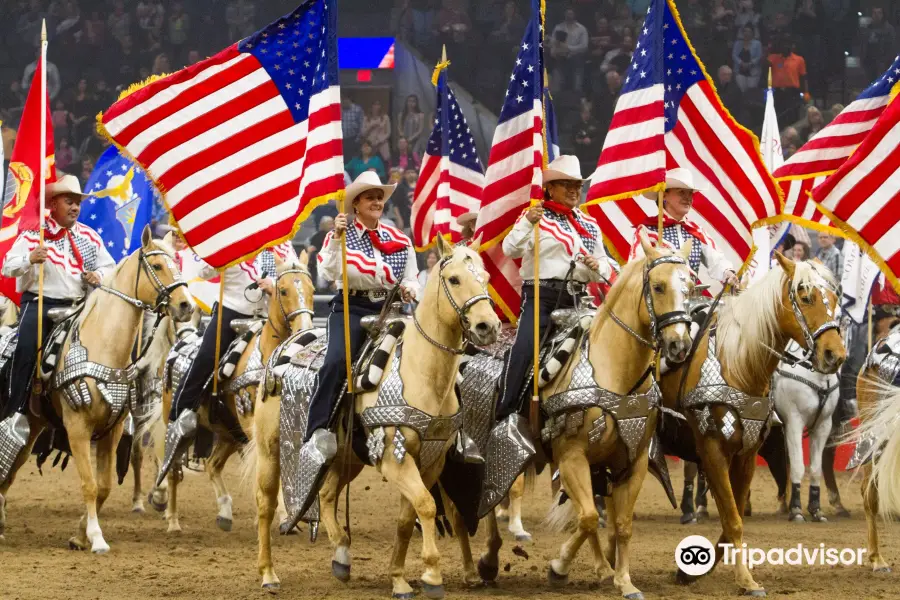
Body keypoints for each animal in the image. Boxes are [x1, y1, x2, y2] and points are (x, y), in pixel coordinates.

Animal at [0, 227, 195, 552]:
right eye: (157, 266)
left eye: (178, 265)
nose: (186, 306)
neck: (102, 347)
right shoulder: (78, 428)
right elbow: (89, 485)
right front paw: (96, 537)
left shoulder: (111, 431)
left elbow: (103, 487)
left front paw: (80, 535)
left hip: (35, 422)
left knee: (14, 466)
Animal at [162, 251, 316, 532]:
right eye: (283, 290)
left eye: (312, 290)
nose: (305, 329)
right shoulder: (252, 424)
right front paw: (283, 517)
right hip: (175, 419)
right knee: (173, 467)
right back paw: (173, 521)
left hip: (227, 432)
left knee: (212, 465)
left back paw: (224, 511)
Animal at [253, 237, 500, 592]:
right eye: (454, 279)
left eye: (486, 278)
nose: (487, 326)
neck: (421, 372)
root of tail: (284, 349)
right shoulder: (394, 458)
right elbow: (426, 505)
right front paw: (431, 575)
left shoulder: (431, 461)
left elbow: (408, 516)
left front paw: (399, 577)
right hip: (270, 451)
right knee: (266, 505)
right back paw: (269, 574)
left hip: (346, 459)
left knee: (326, 495)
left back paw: (342, 557)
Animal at [488, 237, 692, 596]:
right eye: (658, 286)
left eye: (689, 286)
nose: (679, 345)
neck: (615, 373)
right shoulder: (571, 456)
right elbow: (586, 517)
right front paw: (559, 566)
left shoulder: (633, 460)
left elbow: (619, 523)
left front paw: (623, 580)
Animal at [660, 254, 844, 596]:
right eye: (805, 297)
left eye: (835, 299)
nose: (834, 355)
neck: (740, 365)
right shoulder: (713, 449)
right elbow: (732, 517)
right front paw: (747, 581)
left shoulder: (746, 453)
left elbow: (732, 515)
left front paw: (689, 572)